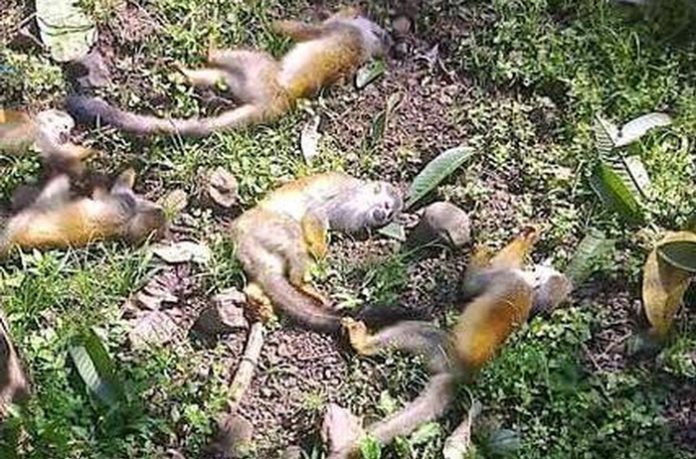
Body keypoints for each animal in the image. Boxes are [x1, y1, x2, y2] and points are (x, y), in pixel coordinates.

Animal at [65, 8, 391, 137]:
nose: (385, 37)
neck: (365, 44)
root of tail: (279, 102)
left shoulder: (343, 29)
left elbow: (304, 29)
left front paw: (275, 25)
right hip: (251, 84)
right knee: (223, 78)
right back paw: (185, 75)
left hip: (260, 73)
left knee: (239, 58)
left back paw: (208, 49)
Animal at [230, 172, 402, 333]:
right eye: (386, 205)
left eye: (389, 215)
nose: (383, 216)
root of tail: (238, 231)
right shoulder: (350, 198)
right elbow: (315, 213)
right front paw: (319, 252)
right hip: (265, 224)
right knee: (293, 232)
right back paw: (299, 282)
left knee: (267, 272)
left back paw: (256, 298)